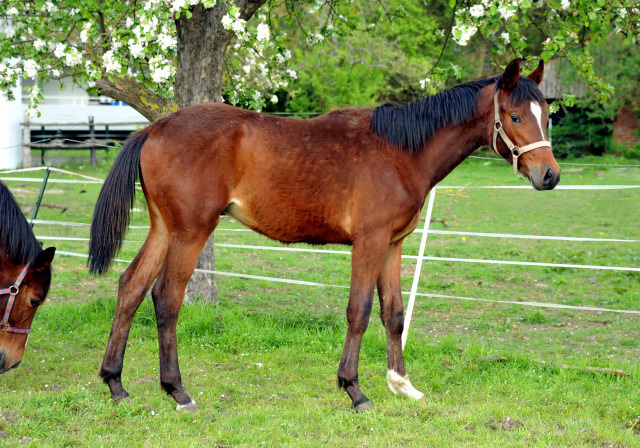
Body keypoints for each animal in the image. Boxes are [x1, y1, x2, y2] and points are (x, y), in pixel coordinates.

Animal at [89, 57, 560, 412]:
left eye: (546, 117)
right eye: (515, 116)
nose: (550, 175)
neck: (400, 151)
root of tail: (155, 128)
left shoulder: (393, 244)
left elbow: (394, 313)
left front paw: (401, 385)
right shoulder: (369, 243)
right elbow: (360, 312)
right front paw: (355, 390)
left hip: (164, 229)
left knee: (131, 287)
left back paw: (116, 384)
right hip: (190, 232)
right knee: (166, 298)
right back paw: (178, 391)